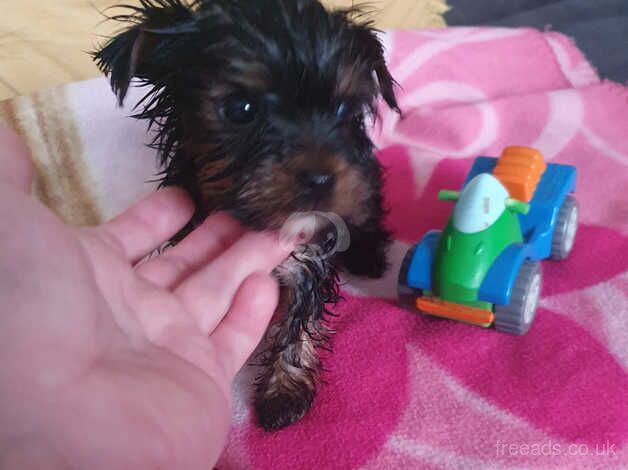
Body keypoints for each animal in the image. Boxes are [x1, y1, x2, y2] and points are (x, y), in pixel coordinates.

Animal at [93, 0, 398, 430]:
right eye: (241, 109)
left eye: (342, 108)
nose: (321, 178)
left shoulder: (310, 252)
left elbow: (299, 318)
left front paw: (284, 391)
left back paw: (368, 256)